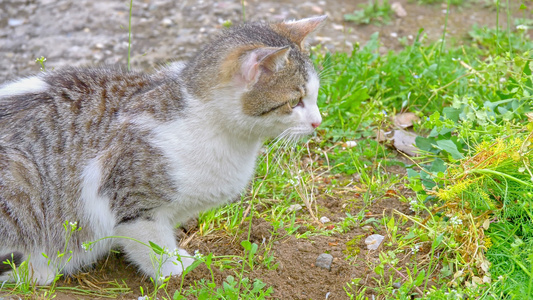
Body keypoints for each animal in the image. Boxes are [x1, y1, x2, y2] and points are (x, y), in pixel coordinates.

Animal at [0, 15, 324, 284]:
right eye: (294, 101)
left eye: (316, 96)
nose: (318, 122)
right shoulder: (131, 203)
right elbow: (153, 245)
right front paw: (179, 273)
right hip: (20, 178)